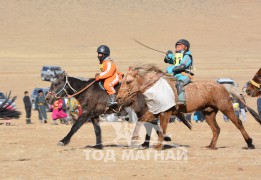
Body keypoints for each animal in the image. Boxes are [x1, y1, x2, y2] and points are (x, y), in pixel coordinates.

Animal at [116, 64, 260, 149]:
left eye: (128, 81)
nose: (118, 98)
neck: (156, 88)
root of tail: (223, 86)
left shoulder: (166, 113)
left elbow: (162, 129)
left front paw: (158, 146)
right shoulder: (154, 112)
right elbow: (141, 122)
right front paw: (134, 140)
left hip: (226, 108)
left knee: (238, 123)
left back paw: (249, 143)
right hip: (209, 113)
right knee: (216, 129)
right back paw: (211, 146)